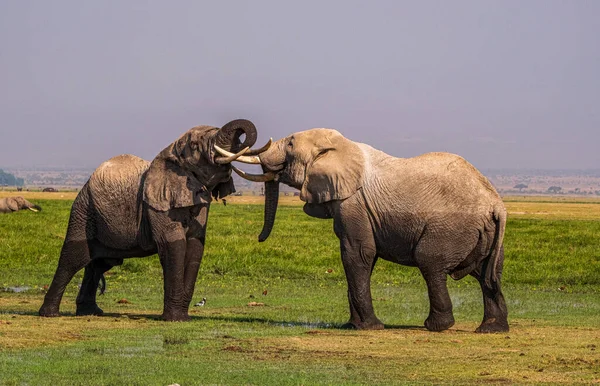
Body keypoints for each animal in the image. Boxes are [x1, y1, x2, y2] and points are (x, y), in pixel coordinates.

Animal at [39, 119, 270, 322]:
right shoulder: (157, 205)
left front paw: (183, 318)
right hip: (83, 210)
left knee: (99, 264)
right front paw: (175, 320)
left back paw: (91, 312)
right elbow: (174, 246)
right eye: (195, 145)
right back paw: (49, 314)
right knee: (73, 258)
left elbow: (195, 246)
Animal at [223, 129, 508, 332]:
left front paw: (370, 327)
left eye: (291, 145)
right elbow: (361, 259)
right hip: (483, 233)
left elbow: (358, 254)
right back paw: (491, 329)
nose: (259, 238)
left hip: (451, 227)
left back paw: (436, 327)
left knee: (430, 263)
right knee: (488, 273)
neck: (341, 146)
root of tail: (497, 205)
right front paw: (354, 325)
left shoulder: (353, 202)